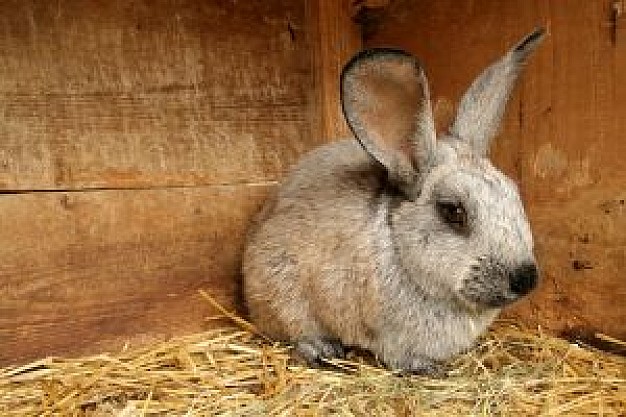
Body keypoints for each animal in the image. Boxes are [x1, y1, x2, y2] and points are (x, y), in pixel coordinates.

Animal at [241, 29, 544, 374]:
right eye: (453, 211)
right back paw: (321, 349)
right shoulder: (390, 337)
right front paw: (429, 369)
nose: (526, 279)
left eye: (514, 194)